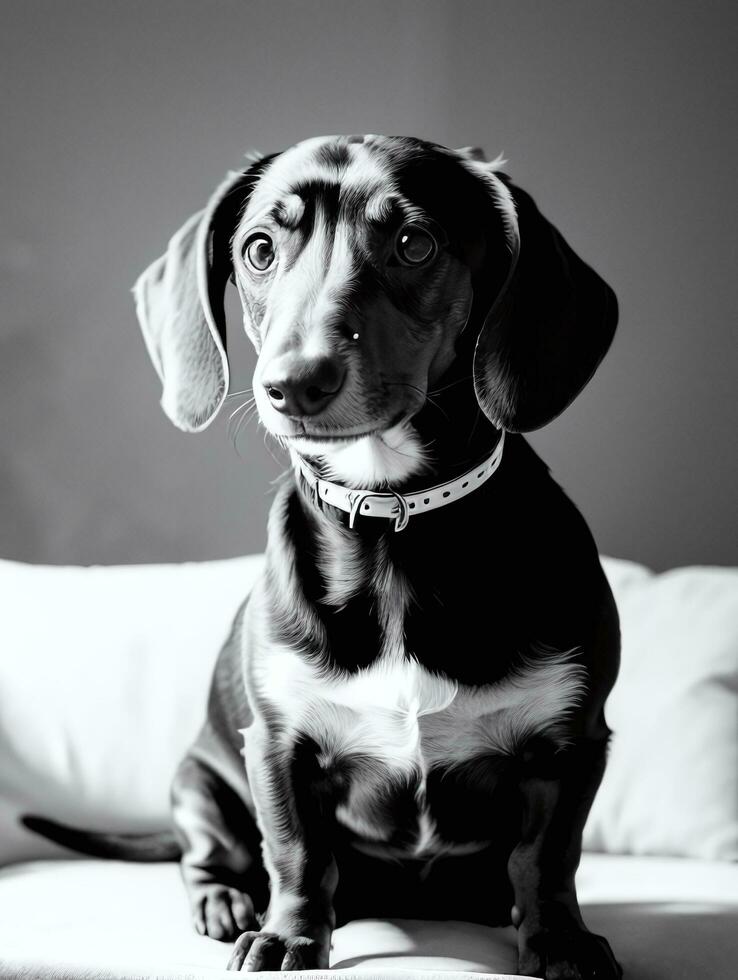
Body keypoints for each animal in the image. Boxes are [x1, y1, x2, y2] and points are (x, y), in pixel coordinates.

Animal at [23, 134, 620, 976]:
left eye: (414, 243)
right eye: (259, 249)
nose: (292, 385)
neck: (395, 528)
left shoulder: (571, 745)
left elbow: (548, 858)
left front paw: (562, 941)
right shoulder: (278, 746)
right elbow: (298, 854)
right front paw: (288, 937)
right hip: (198, 782)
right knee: (206, 855)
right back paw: (224, 900)